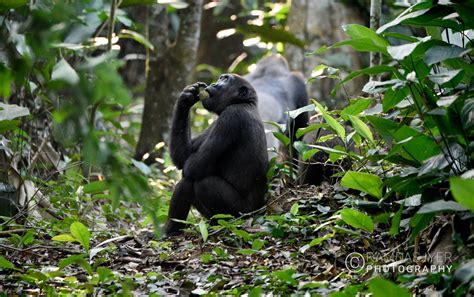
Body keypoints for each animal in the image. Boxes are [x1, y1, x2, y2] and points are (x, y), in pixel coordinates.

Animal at [164, 73, 268, 234]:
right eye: (220, 78)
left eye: (225, 80)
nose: (213, 84)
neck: (245, 103)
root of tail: (258, 211)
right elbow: (184, 156)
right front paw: (186, 98)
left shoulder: (231, 117)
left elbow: (193, 167)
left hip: (241, 214)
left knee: (201, 182)